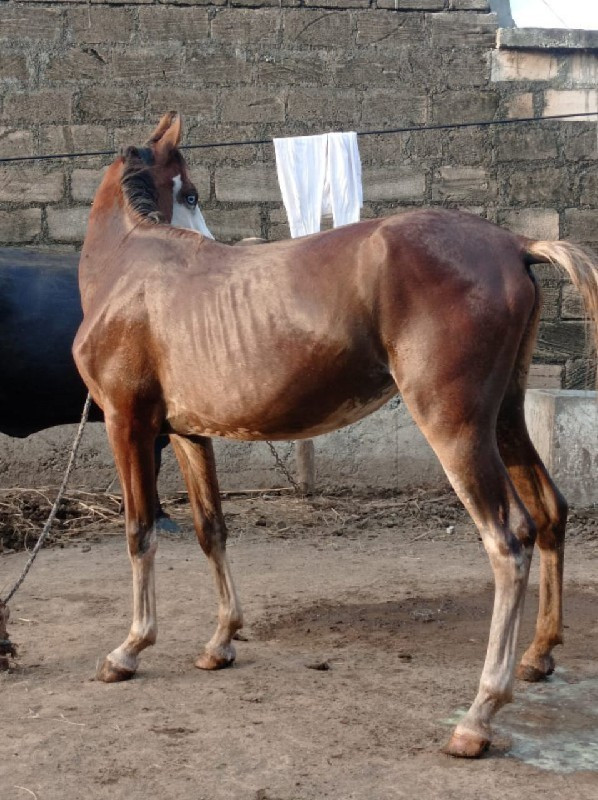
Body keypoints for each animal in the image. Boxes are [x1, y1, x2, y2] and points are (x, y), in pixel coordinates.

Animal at [74, 112, 598, 756]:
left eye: (192, 193)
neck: (131, 269)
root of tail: (514, 244)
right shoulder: (189, 434)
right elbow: (210, 530)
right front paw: (220, 642)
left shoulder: (127, 424)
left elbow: (140, 531)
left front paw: (129, 649)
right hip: (502, 419)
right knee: (549, 512)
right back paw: (538, 655)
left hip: (456, 428)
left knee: (509, 541)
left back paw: (478, 716)